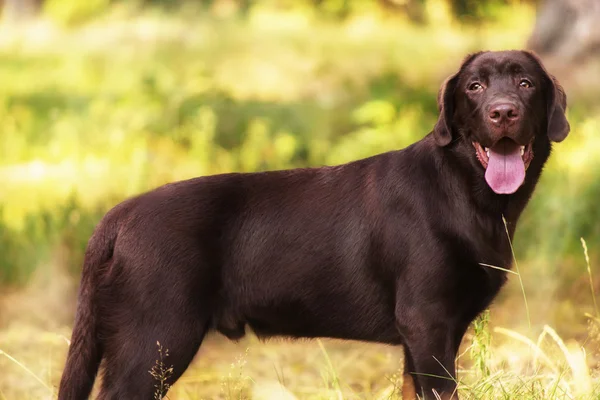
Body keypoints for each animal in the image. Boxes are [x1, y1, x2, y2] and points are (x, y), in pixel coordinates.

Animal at [56, 50, 568, 400]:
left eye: (525, 83)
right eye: (474, 87)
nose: (503, 112)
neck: (465, 192)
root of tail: (116, 218)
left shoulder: (422, 336)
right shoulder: (428, 322)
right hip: (154, 340)